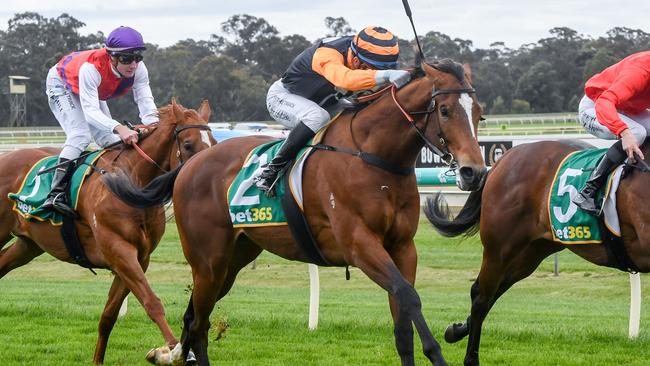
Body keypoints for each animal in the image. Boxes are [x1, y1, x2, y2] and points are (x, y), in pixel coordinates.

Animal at [0, 98, 215, 364]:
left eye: (213, 142)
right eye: (188, 144)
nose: (202, 174)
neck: (131, 185)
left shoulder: (137, 258)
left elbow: (109, 315)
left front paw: (98, 359)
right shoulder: (119, 250)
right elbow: (151, 302)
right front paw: (174, 351)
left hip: (28, 245)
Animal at [102, 60, 486, 366]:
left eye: (479, 112)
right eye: (445, 110)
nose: (474, 172)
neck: (374, 158)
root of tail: (189, 165)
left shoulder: (403, 247)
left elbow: (402, 318)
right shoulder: (360, 246)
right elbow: (409, 296)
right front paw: (437, 353)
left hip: (233, 259)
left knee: (196, 317)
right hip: (207, 261)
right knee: (198, 324)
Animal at [422, 139, 648, 364]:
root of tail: (501, 161)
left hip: (532, 252)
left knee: (494, 290)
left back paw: (455, 330)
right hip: (499, 249)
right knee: (481, 296)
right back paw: (470, 357)